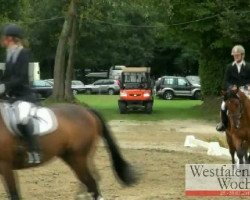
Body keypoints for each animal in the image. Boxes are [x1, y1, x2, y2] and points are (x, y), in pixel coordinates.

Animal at [0, 104, 137, 199]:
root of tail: (87, 111)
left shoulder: (5, 165)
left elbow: (14, 194)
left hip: (78, 158)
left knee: (91, 182)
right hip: (73, 157)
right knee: (90, 179)